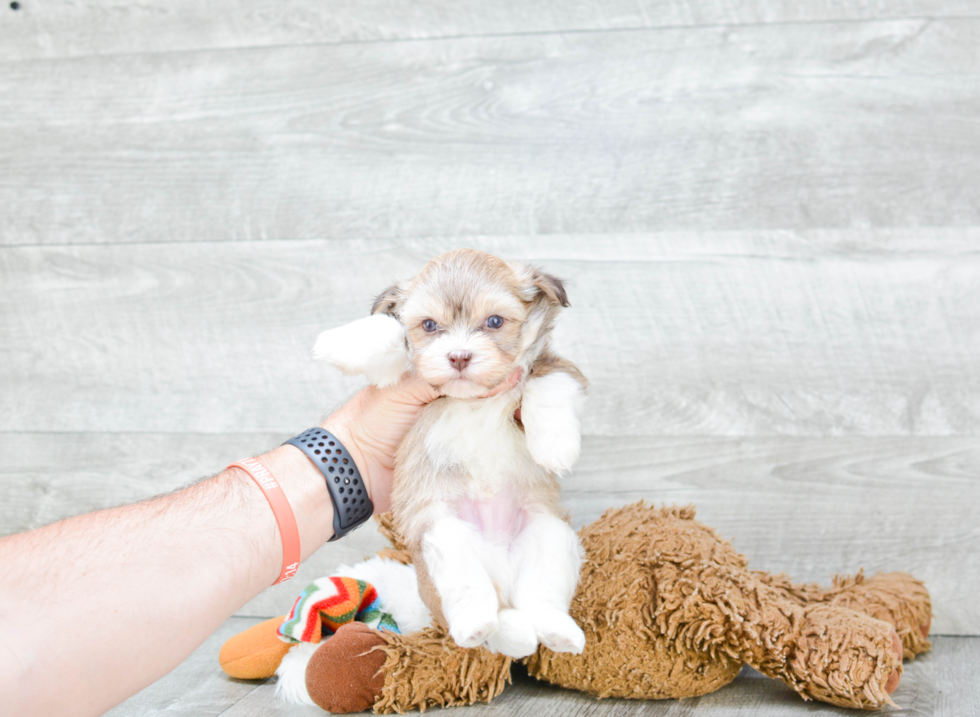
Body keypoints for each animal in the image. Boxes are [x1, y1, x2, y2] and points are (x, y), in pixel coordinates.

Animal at [314, 249, 584, 656]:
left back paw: (557, 632)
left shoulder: (553, 364)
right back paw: (483, 627)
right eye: (429, 325)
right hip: (443, 536)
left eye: (494, 322)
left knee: (539, 598)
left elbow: (549, 382)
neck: (472, 398)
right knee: (475, 598)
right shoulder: (404, 378)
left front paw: (555, 444)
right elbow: (392, 337)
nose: (458, 356)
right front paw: (336, 342)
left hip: (549, 533)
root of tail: (502, 579)